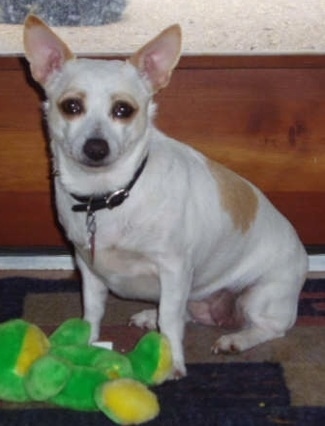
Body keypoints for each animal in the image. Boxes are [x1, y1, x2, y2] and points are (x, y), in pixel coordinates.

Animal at [23, 15, 306, 378]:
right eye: (71, 106)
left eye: (123, 110)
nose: (96, 147)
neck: (110, 195)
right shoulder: (88, 269)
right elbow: (93, 312)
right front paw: (89, 345)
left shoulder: (174, 269)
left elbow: (171, 320)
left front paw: (172, 362)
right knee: (188, 312)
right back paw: (150, 316)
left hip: (258, 296)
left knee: (269, 327)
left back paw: (236, 339)